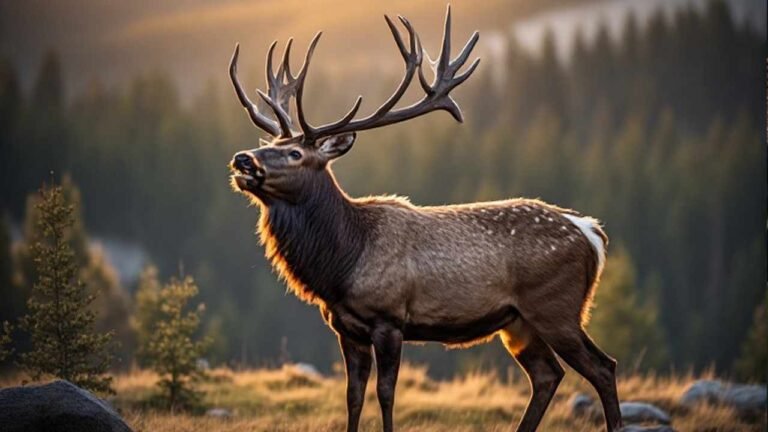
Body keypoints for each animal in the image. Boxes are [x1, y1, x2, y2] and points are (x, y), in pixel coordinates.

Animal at [227, 6, 622, 432]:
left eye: (296, 154)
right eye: (270, 144)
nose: (242, 159)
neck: (341, 264)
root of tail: (591, 232)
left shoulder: (390, 319)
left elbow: (385, 393)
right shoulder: (346, 328)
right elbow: (352, 397)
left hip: (555, 307)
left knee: (603, 367)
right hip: (519, 322)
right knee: (548, 375)